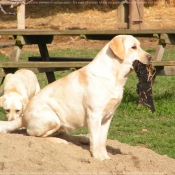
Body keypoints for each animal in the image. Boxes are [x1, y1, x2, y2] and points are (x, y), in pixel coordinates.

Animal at [0, 35, 151, 160]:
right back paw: (60, 141)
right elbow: (96, 139)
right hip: (52, 118)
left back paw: (80, 139)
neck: (114, 77)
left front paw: (105, 157)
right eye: (133, 47)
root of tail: (23, 118)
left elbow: (102, 140)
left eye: (139, 45)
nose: (150, 57)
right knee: (34, 135)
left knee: (63, 134)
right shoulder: (94, 115)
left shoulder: (108, 117)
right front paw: (98, 157)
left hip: (61, 123)